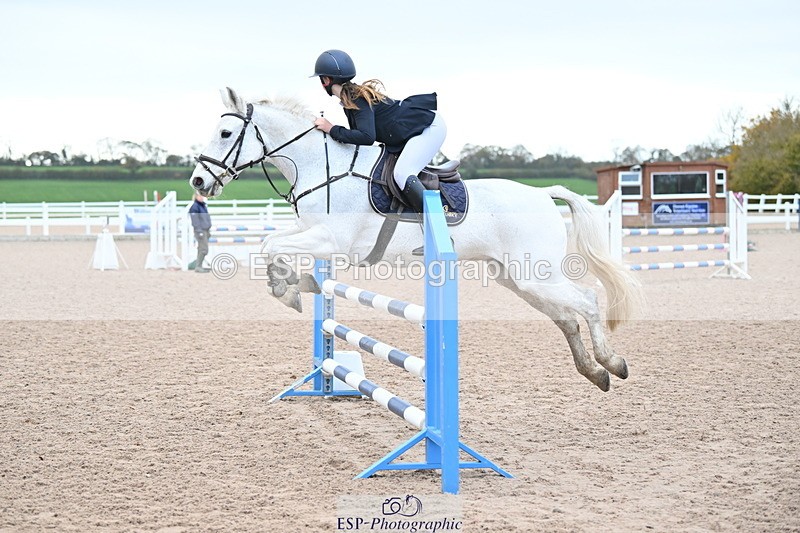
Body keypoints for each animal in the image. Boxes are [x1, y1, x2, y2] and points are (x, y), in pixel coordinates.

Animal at [190, 87, 643, 391]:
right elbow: (268, 244)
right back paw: (596, 372)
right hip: (516, 277)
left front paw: (288, 290)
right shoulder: (309, 232)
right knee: (566, 316)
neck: (321, 166)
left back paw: (612, 362)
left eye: (226, 133)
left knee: (588, 301)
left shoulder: (331, 241)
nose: (197, 182)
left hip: (537, 274)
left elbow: (270, 247)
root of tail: (541, 193)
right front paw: (291, 285)